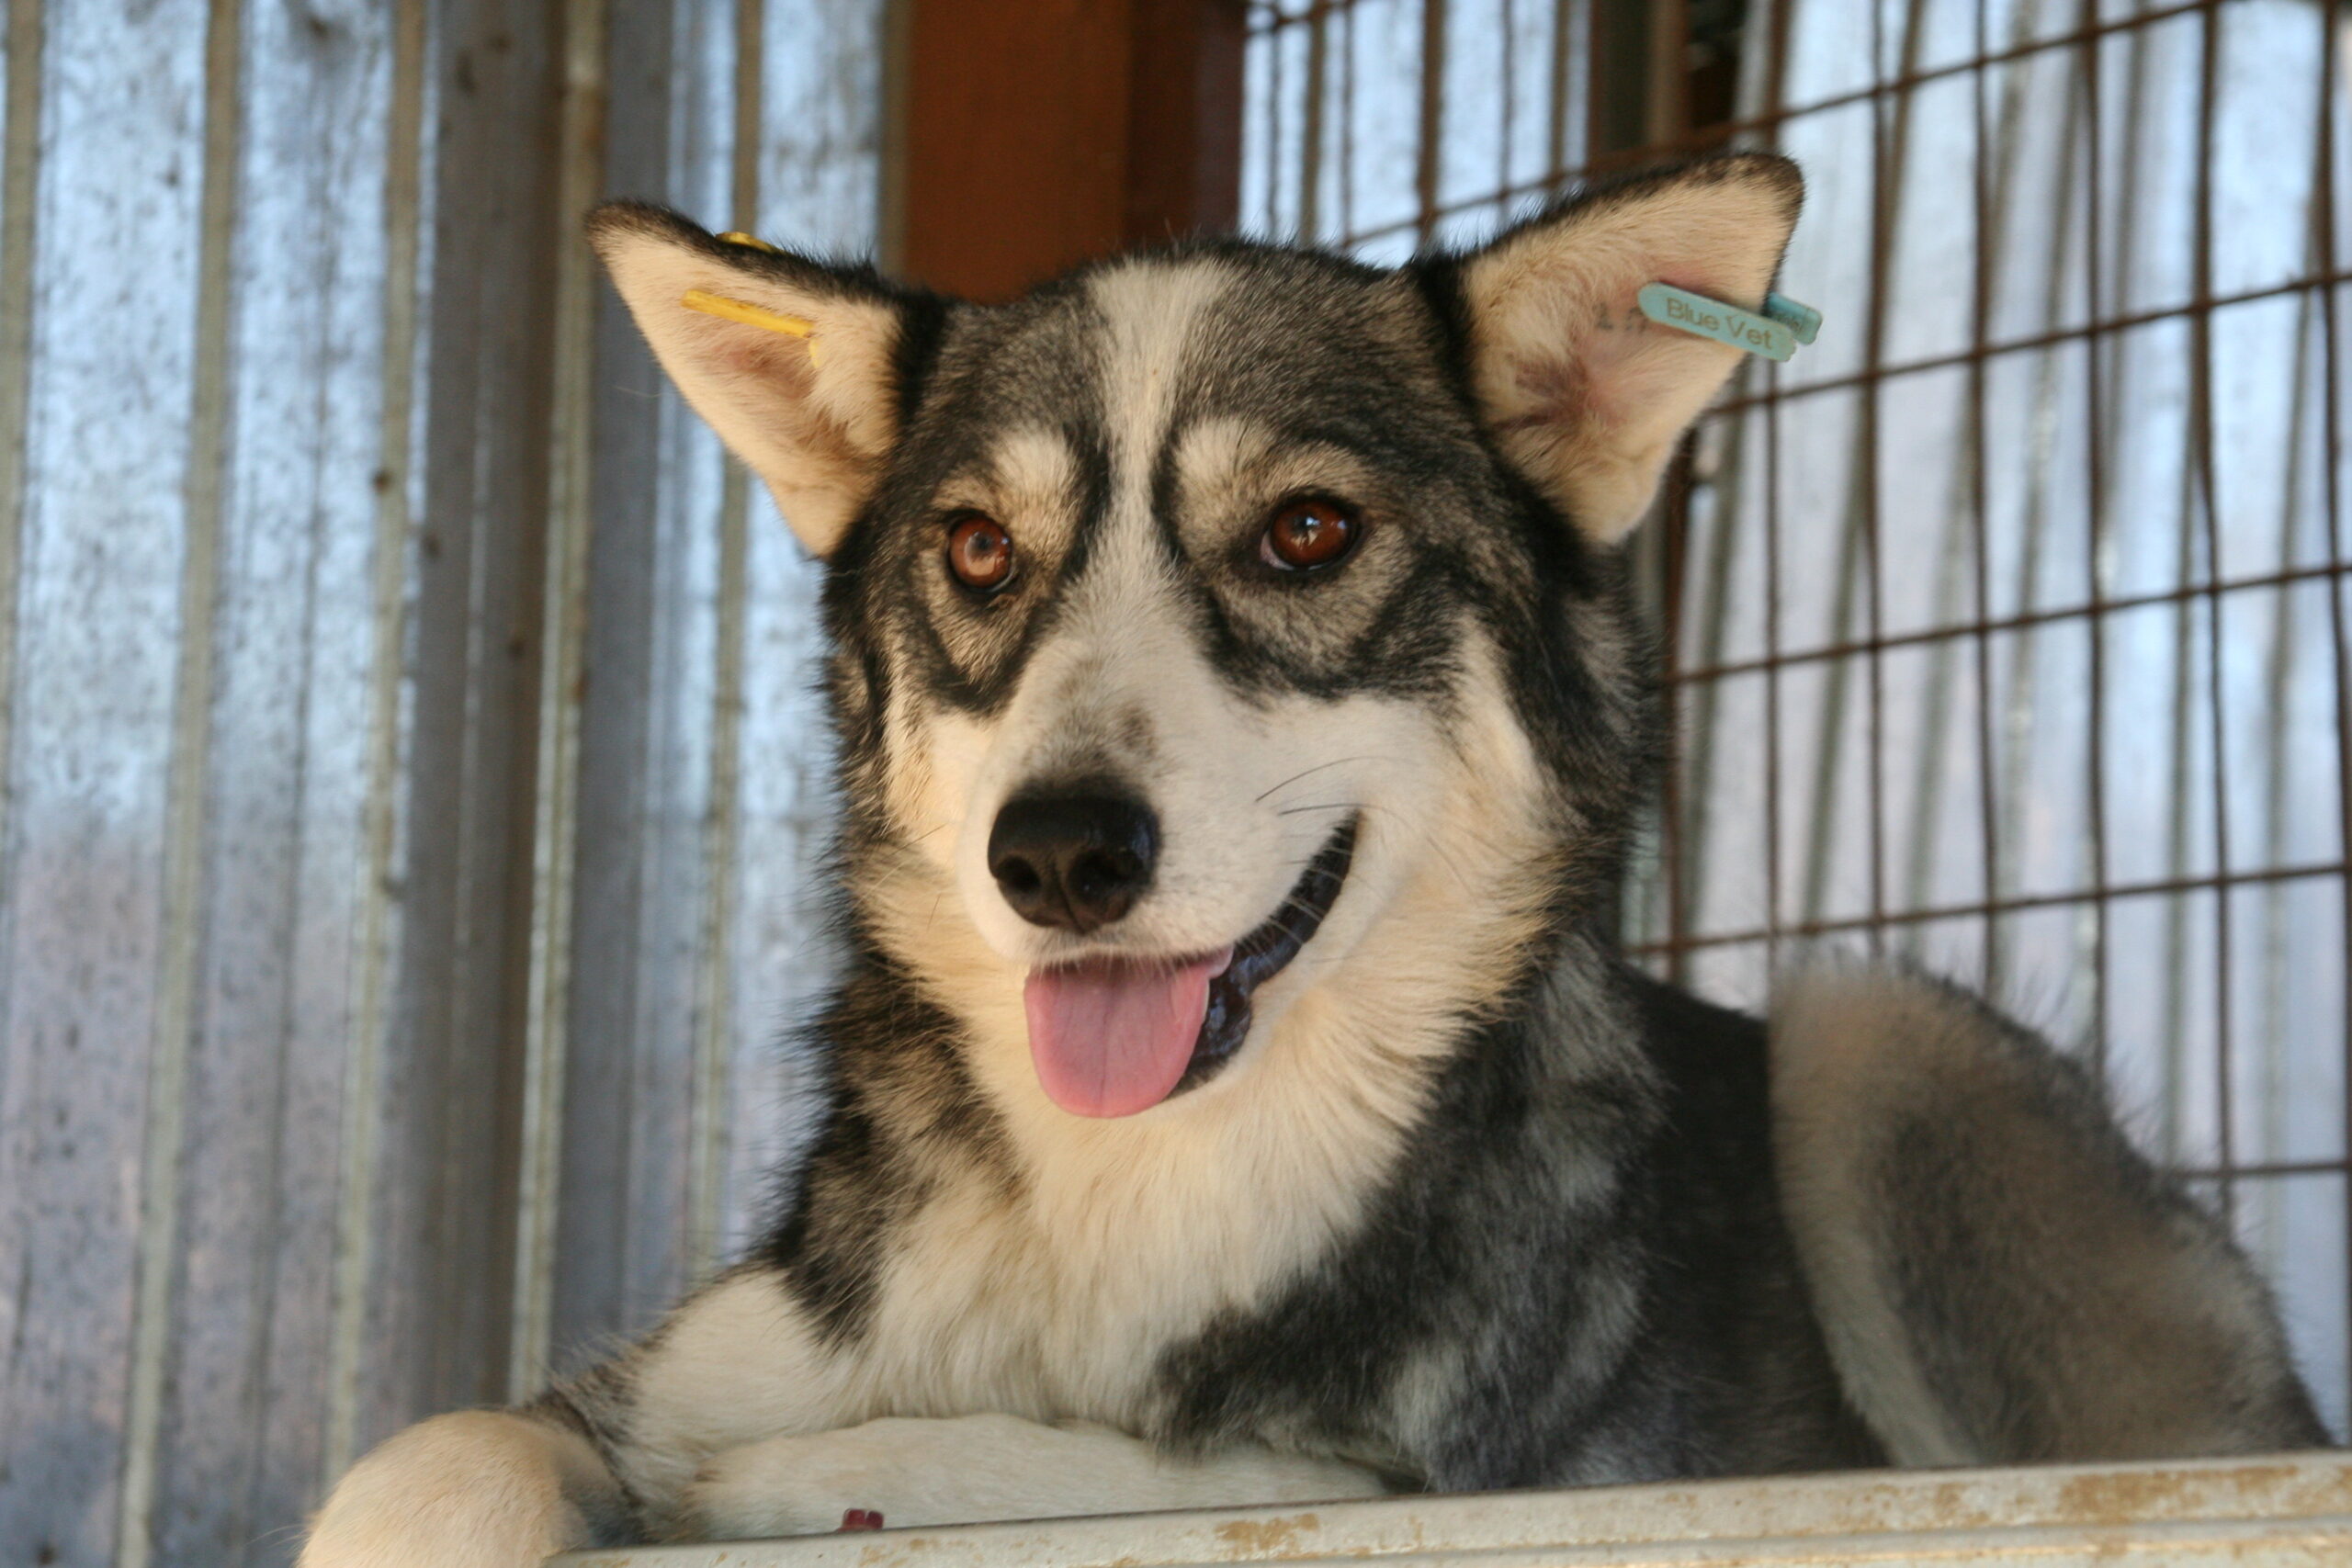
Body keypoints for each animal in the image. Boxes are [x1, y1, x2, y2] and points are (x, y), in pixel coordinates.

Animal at [298, 153, 2327, 1567]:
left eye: (1304, 532)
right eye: (976, 551)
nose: (1059, 855)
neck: (1137, 1194)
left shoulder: (1459, 1475)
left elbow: (1140, 1465)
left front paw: (807, 1480)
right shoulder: (689, 1357)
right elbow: (442, 1449)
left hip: (1873, 1027)